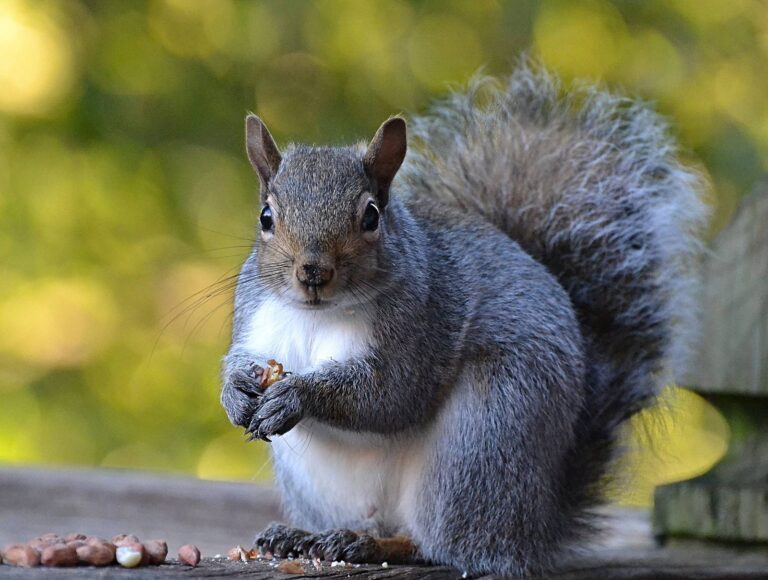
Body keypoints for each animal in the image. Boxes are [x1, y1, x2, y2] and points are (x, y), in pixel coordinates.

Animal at [220, 63, 707, 577]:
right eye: (266, 217)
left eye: (371, 216)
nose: (313, 271)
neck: (315, 316)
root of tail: (538, 522)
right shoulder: (255, 317)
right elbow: (238, 361)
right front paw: (234, 392)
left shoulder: (421, 325)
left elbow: (389, 396)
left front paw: (297, 395)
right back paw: (307, 536)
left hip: (484, 441)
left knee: (443, 543)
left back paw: (372, 545)